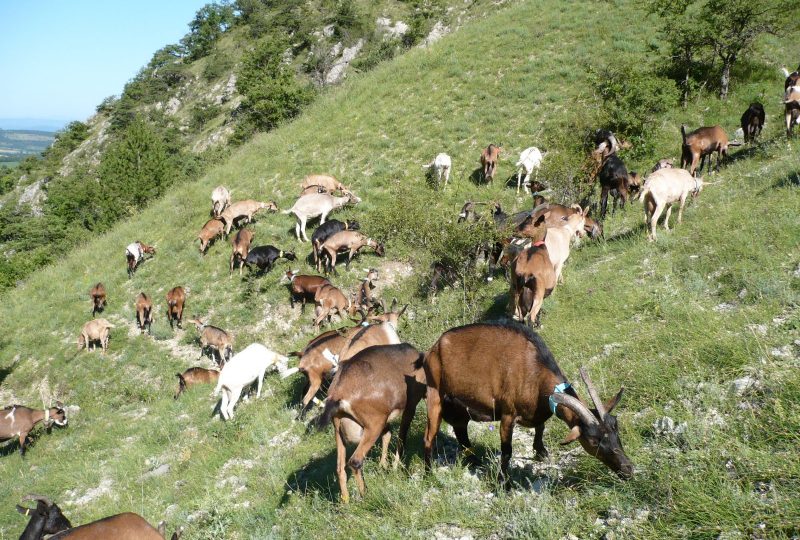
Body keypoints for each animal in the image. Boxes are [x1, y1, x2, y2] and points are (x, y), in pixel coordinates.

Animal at [318, 344, 428, 504]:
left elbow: (388, 435)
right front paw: (395, 467)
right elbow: (401, 437)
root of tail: (338, 393)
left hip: (338, 431)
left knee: (340, 468)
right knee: (355, 461)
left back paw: (346, 501)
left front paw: (383, 466)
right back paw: (365, 495)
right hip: (373, 426)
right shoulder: (409, 406)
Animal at [422, 320, 636, 486]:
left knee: (460, 430)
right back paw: (428, 474)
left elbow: (540, 427)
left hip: (460, 406)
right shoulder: (508, 414)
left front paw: (540, 452)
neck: (534, 369)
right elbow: (507, 452)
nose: (628, 469)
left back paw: (474, 460)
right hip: (435, 395)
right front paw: (503, 483)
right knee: (429, 437)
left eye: (616, 428)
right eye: (593, 440)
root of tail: (435, 346)